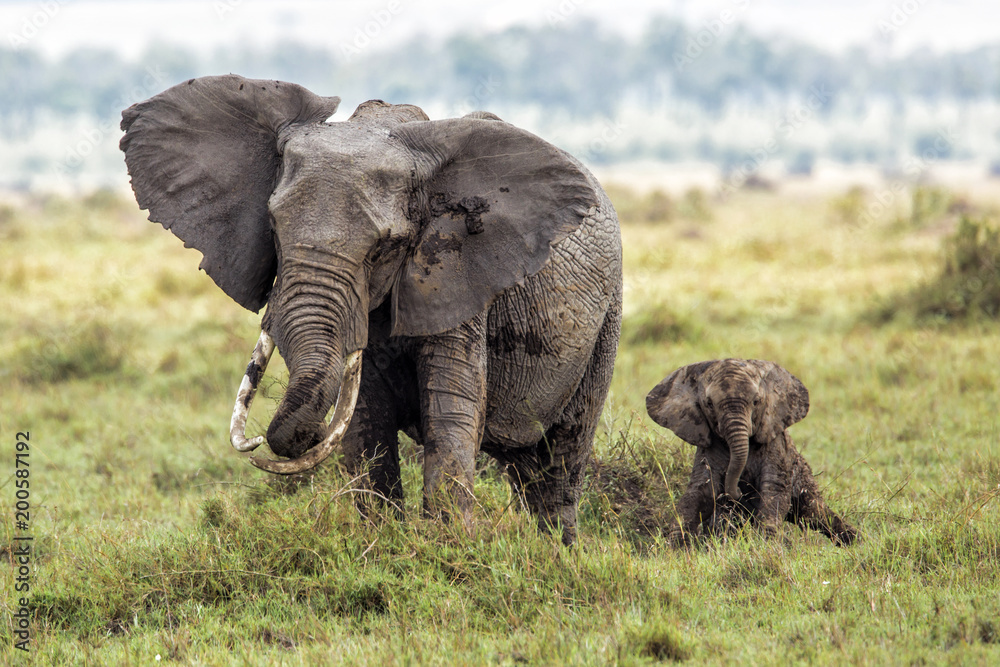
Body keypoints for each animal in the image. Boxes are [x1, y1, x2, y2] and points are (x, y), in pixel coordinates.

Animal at [120, 75, 622, 545]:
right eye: (274, 229)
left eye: (384, 248)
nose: (264, 441)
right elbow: (364, 419)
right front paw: (382, 538)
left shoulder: (460, 275)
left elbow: (450, 408)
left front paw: (450, 549)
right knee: (526, 468)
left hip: (606, 321)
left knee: (562, 460)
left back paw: (559, 553)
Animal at [646, 359, 857, 547]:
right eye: (709, 404)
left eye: (756, 402)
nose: (738, 493)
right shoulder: (709, 446)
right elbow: (702, 490)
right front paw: (673, 547)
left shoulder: (774, 443)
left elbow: (773, 490)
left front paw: (769, 544)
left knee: (813, 511)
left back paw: (855, 541)